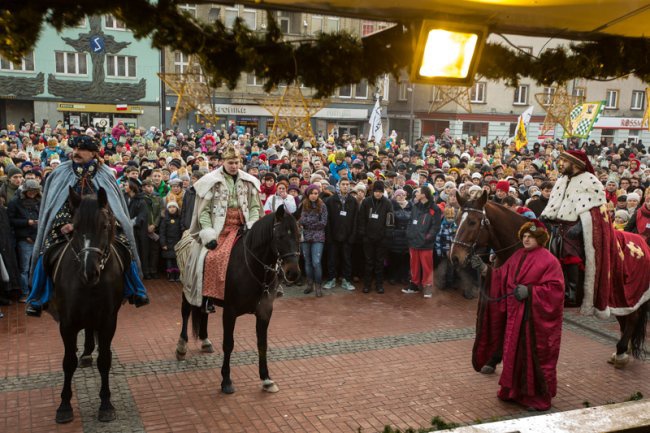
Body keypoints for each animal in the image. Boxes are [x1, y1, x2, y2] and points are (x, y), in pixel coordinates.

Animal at [450, 191, 644, 370]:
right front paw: (493, 360)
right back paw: (620, 353)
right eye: (458, 219)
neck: (519, 245)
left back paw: (621, 352)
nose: (455, 257)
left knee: (633, 319)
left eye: (472, 222)